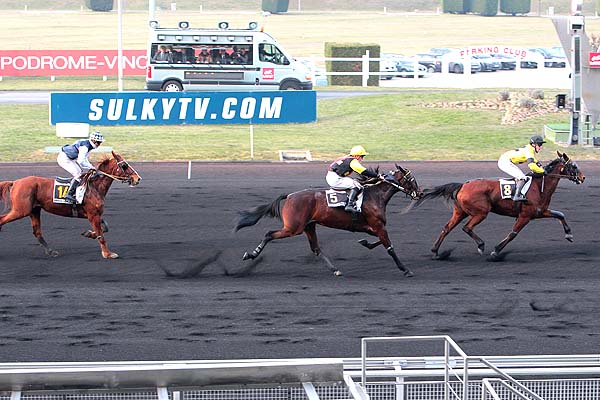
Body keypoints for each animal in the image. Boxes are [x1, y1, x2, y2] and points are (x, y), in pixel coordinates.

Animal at [0, 151, 142, 260]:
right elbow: (101, 234)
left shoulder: (93, 214)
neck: (94, 187)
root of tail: (15, 182)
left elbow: (104, 227)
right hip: (20, 210)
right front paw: (107, 254)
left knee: (37, 231)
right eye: (124, 165)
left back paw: (51, 251)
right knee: (2, 219)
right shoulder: (93, 214)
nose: (138, 178)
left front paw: (88, 233)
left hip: (34, 210)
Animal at [234, 164, 422, 276]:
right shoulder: (378, 225)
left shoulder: (371, 227)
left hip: (308, 226)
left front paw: (364, 242)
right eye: (412, 179)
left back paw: (335, 269)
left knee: (316, 248)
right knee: (269, 234)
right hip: (293, 227)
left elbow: (377, 242)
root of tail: (289, 196)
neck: (374, 196)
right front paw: (405, 269)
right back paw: (251, 254)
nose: (419, 193)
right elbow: (389, 246)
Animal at [406, 152, 584, 260]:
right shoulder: (525, 216)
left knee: (446, 228)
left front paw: (569, 235)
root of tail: (463, 185)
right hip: (481, 212)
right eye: (574, 166)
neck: (539, 186)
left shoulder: (540, 212)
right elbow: (513, 234)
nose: (582, 177)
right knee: (466, 228)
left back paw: (436, 252)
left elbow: (560, 214)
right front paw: (496, 251)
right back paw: (480, 245)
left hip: (460, 212)